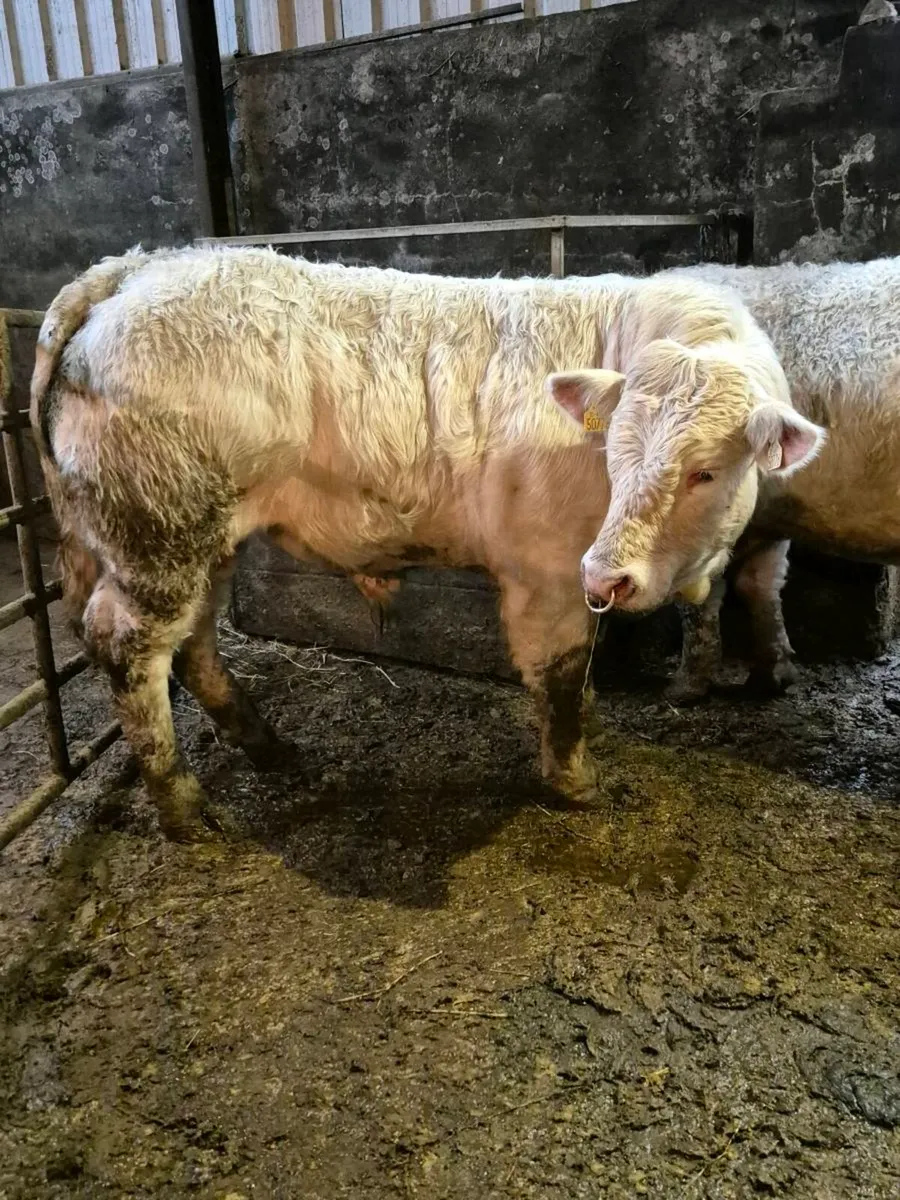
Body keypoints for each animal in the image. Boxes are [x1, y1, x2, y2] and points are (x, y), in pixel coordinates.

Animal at [31, 247, 822, 841]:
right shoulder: (548, 573)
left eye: (705, 470)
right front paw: (575, 780)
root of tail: (135, 268)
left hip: (200, 535)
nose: (608, 573)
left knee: (193, 640)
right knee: (128, 645)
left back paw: (270, 748)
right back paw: (186, 808)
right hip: (155, 528)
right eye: (614, 451)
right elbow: (562, 679)